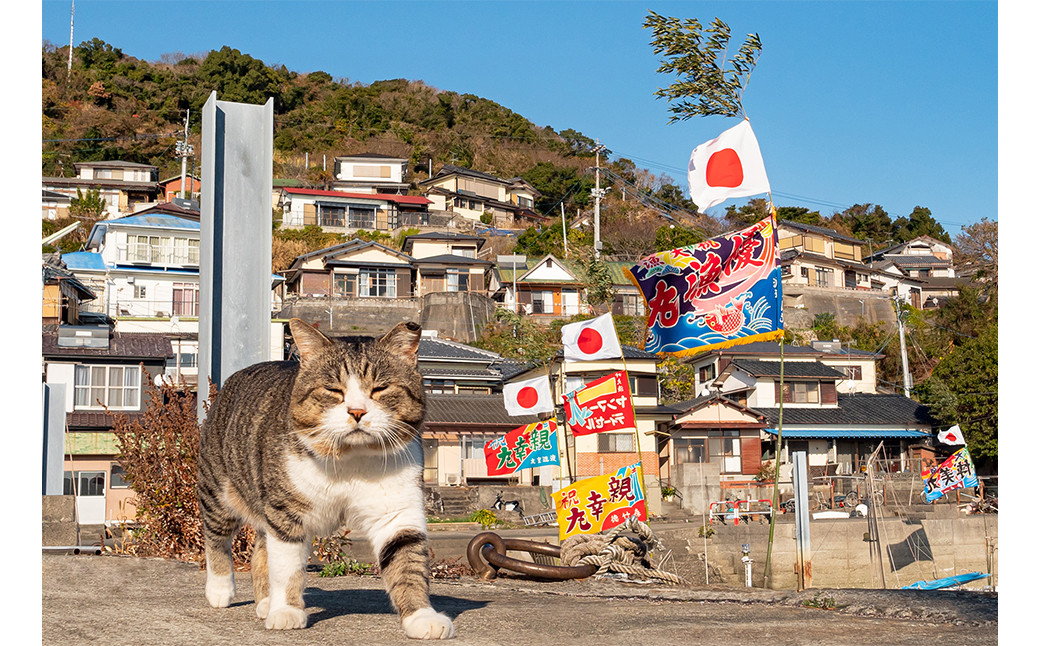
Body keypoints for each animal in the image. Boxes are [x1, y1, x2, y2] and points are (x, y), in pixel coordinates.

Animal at [195, 314, 455, 636]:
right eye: (333, 390)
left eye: (380, 389)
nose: (357, 411)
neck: (350, 458)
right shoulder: (286, 511)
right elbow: (287, 566)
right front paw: (287, 611)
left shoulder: (396, 510)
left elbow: (407, 560)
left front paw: (421, 616)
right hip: (218, 489)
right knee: (216, 536)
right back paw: (220, 590)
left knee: (260, 551)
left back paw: (265, 602)